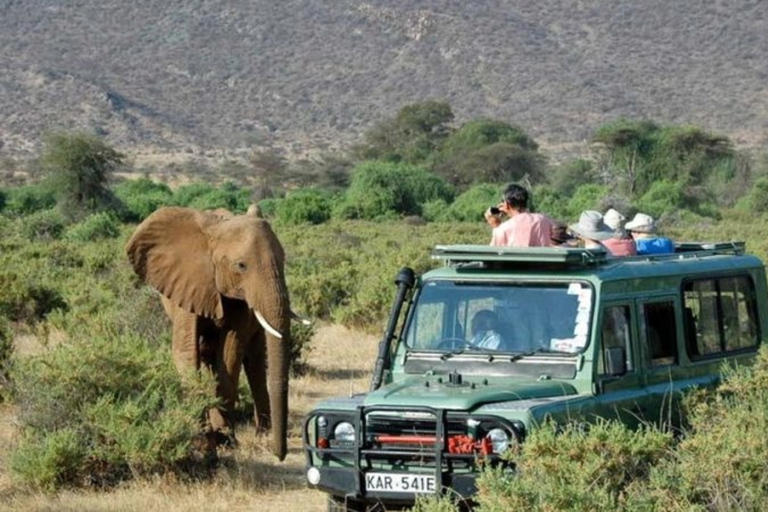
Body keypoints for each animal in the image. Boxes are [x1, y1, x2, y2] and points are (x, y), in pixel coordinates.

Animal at [126, 206, 294, 462]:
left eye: (284, 260)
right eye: (241, 266)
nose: (280, 456)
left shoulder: (238, 302)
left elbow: (230, 354)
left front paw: (224, 441)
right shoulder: (187, 283)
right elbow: (186, 353)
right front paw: (204, 445)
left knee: (253, 361)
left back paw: (262, 432)